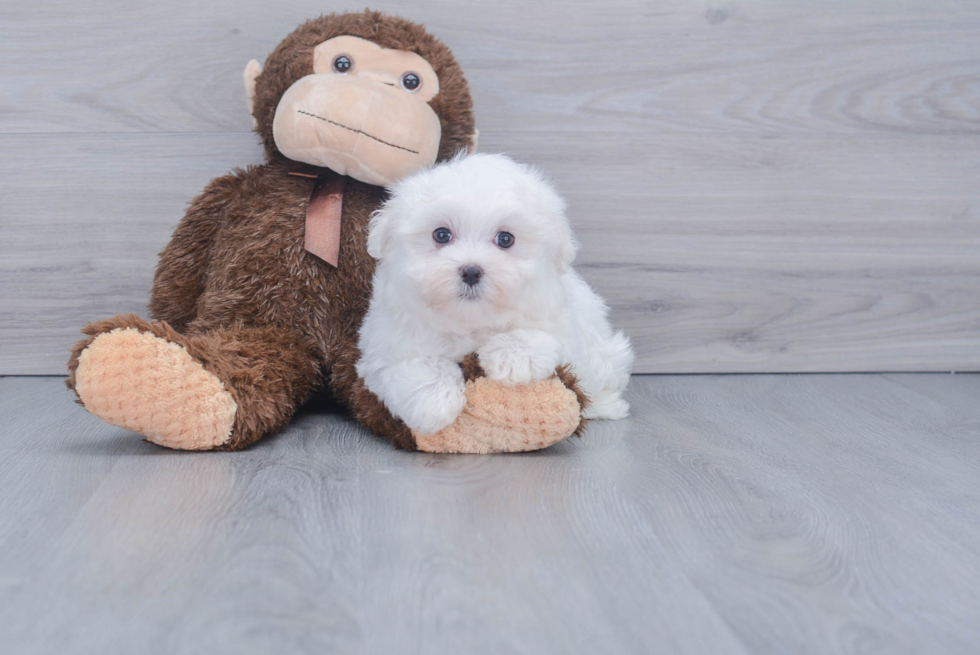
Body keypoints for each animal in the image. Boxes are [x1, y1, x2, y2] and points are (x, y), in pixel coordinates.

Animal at [356, 151, 632, 434]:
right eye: (441, 235)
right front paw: (433, 402)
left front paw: (510, 357)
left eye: (506, 239)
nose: (471, 271)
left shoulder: (564, 323)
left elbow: (548, 336)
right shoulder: (383, 346)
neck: (472, 319)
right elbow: (410, 365)